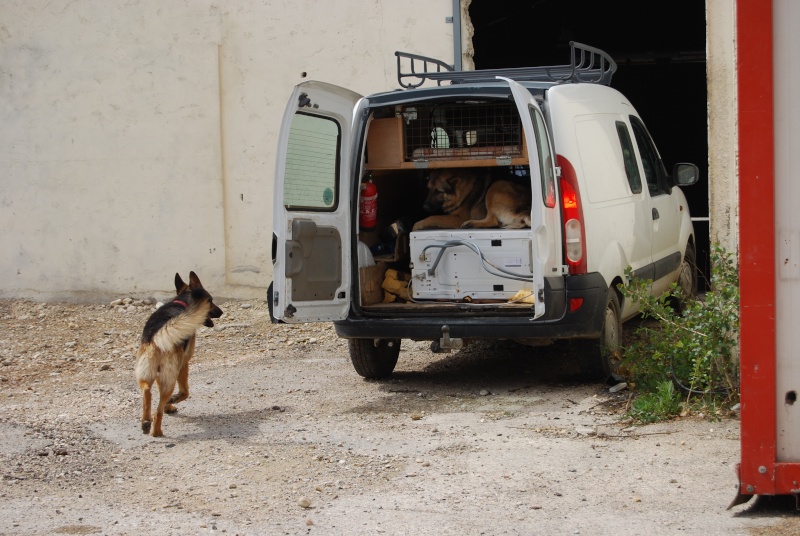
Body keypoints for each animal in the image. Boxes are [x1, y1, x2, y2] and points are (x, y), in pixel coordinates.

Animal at [134, 272, 222, 436]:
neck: (182, 302)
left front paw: (169, 406)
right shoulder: (184, 364)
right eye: (211, 300)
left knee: (147, 392)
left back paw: (146, 422)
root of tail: (157, 338)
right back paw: (156, 431)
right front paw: (172, 401)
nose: (221, 312)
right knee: (158, 411)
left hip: (147, 373)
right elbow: (184, 392)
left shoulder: (159, 374)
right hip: (170, 377)